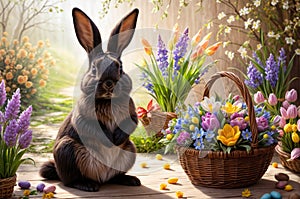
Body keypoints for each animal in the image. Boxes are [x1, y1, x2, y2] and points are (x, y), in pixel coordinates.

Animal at [39, 7, 141, 191]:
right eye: (94, 68)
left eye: (120, 67)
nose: (109, 83)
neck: (107, 101)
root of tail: (102, 177)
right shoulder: (82, 116)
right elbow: (90, 127)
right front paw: (109, 140)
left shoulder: (131, 114)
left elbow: (131, 123)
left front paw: (115, 139)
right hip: (66, 149)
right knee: (69, 180)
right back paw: (87, 185)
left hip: (130, 149)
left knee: (115, 176)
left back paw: (130, 180)